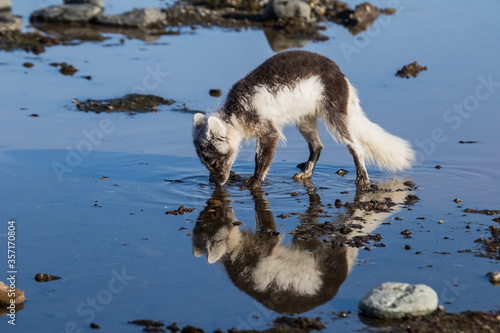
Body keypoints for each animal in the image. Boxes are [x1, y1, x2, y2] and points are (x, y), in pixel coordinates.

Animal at [191, 50, 414, 188]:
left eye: (214, 162)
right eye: (205, 163)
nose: (217, 184)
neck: (237, 114)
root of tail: (341, 75)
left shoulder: (269, 131)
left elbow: (261, 160)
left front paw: (255, 182)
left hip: (335, 114)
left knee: (355, 146)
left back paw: (362, 179)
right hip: (305, 120)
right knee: (317, 146)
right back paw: (306, 173)